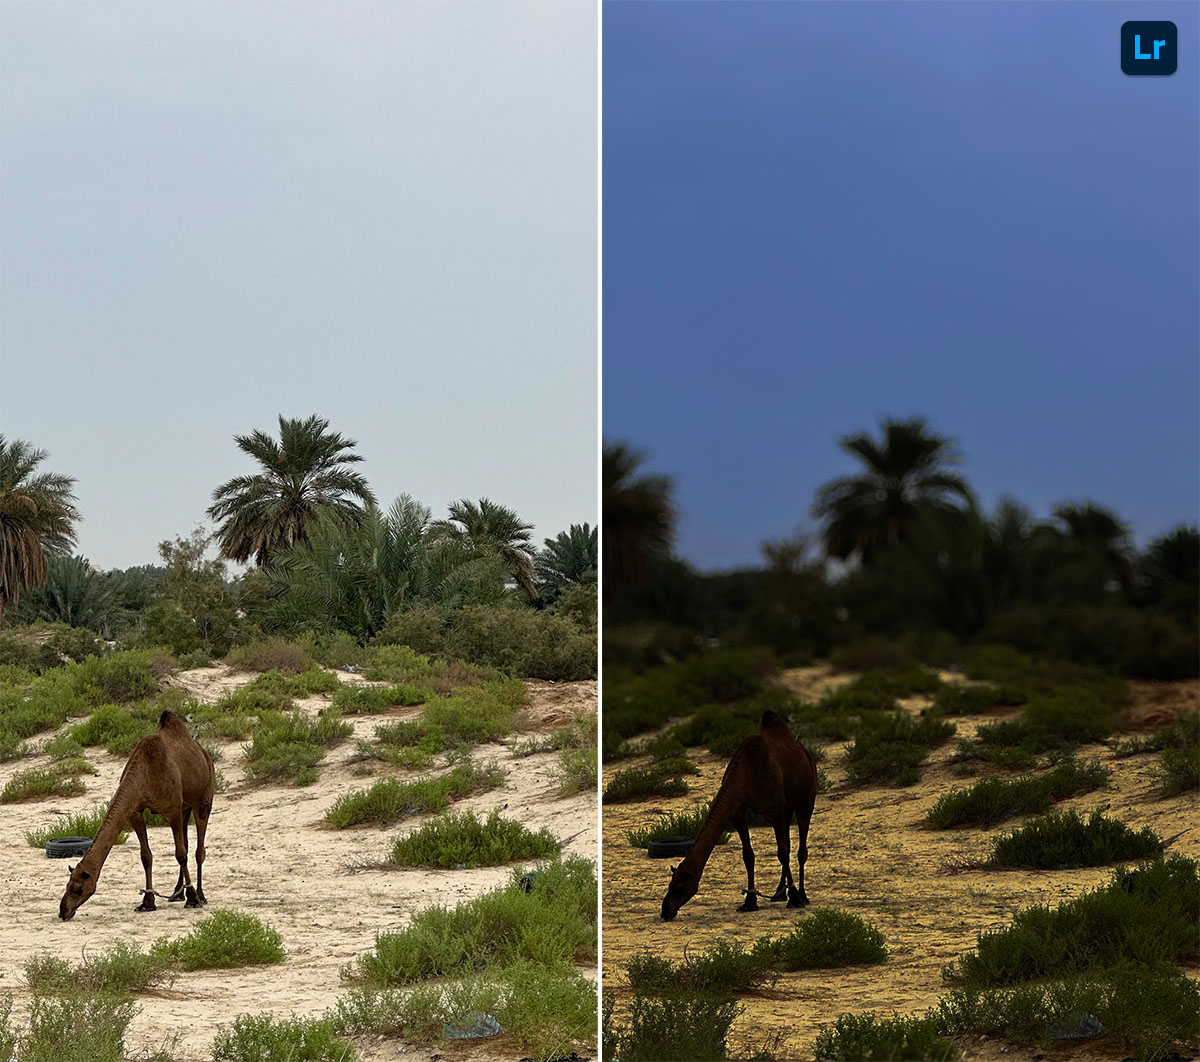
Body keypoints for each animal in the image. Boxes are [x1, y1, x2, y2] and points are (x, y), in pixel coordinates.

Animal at [59, 710, 215, 921]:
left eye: (78, 888)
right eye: (67, 885)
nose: (63, 911)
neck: (145, 773)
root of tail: (204, 753)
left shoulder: (172, 809)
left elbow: (180, 855)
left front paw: (192, 899)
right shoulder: (135, 811)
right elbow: (146, 856)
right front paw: (147, 902)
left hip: (204, 798)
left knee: (199, 849)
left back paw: (200, 895)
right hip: (185, 807)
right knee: (188, 844)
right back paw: (176, 894)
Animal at [661, 710, 817, 921]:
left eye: (679, 888)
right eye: (670, 885)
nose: (665, 911)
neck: (747, 773)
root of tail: (806, 753)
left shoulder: (775, 808)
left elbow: (782, 853)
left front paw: (794, 899)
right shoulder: (738, 812)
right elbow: (748, 855)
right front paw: (749, 902)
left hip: (806, 798)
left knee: (801, 848)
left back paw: (802, 895)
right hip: (788, 807)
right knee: (789, 842)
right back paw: (778, 894)